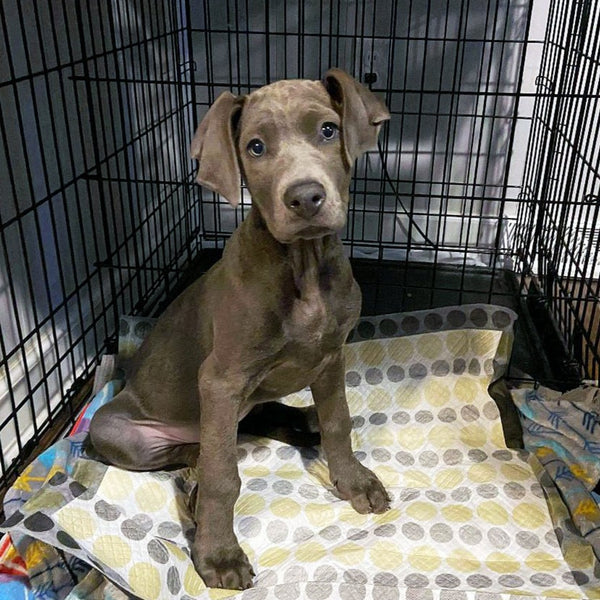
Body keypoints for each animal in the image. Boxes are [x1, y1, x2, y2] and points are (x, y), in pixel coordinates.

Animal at [88, 68, 390, 588]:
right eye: (255, 147)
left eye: (328, 130)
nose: (305, 197)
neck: (302, 266)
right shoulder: (220, 381)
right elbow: (223, 477)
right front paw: (218, 554)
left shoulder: (330, 357)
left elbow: (339, 422)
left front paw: (353, 481)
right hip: (112, 430)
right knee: (201, 452)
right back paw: (195, 473)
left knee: (262, 418)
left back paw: (303, 421)